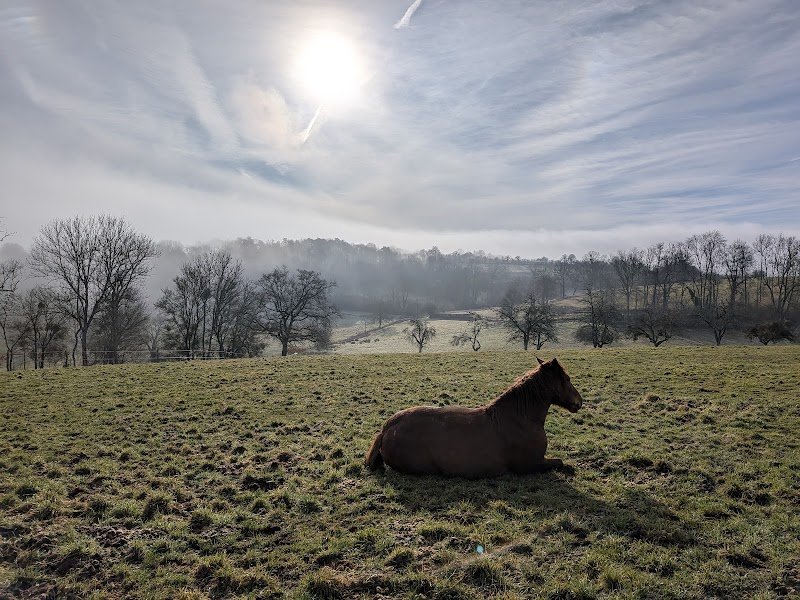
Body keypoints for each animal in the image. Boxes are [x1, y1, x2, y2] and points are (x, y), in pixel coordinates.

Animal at [364, 357, 583, 478]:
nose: (579, 402)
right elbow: (560, 462)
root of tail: (387, 427)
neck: (521, 419)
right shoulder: (531, 465)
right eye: (567, 379)